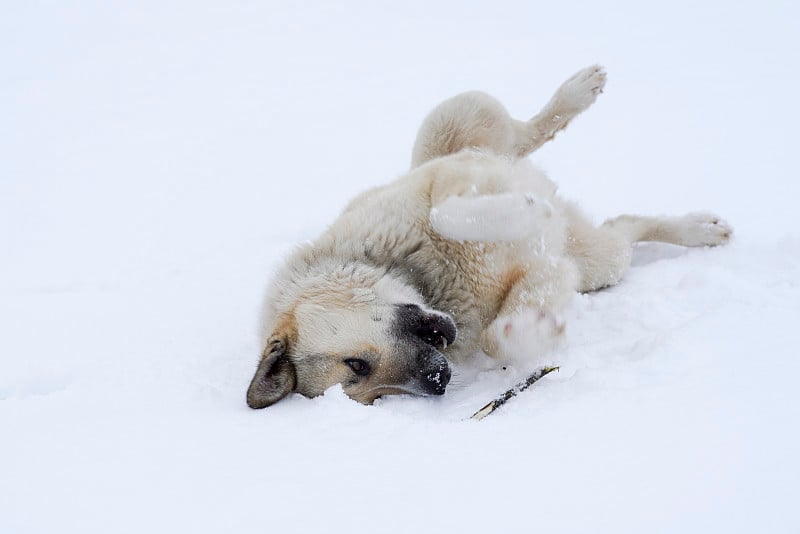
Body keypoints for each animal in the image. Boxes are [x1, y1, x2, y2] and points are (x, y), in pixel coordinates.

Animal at [245, 66, 732, 410]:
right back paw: (697, 229)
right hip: (600, 260)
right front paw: (533, 328)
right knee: (622, 228)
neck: (424, 276)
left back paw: (578, 92)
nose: (437, 381)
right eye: (378, 393)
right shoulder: (545, 275)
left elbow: (447, 212)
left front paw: (524, 211)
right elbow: (501, 335)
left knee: (526, 133)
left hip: (457, 116)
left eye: (356, 365)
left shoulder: (447, 180)